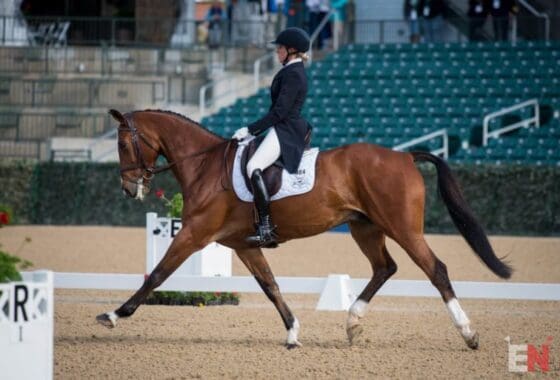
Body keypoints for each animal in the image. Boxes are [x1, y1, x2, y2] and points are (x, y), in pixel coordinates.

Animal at [97, 109, 512, 350]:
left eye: (122, 142)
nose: (128, 188)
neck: (205, 166)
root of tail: (405, 156)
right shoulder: (242, 244)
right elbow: (270, 285)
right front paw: (293, 332)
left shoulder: (193, 234)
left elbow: (158, 274)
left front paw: (115, 315)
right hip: (365, 228)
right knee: (385, 267)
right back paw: (352, 322)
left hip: (402, 228)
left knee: (435, 269)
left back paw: (468, 334)